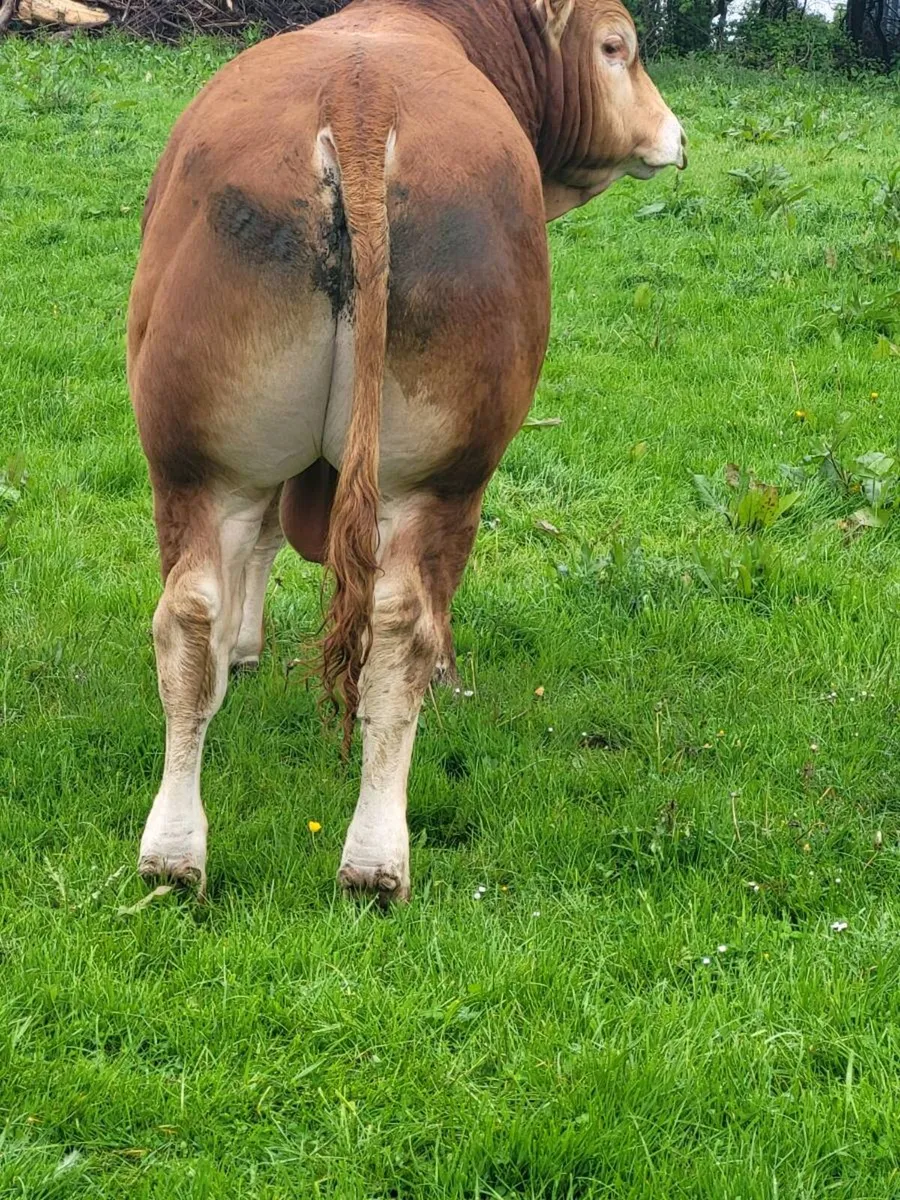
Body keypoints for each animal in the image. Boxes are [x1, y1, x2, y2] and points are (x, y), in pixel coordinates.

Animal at [127, 0, 685, 905]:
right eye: (617, 48)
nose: (675, 134)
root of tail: (359, 101)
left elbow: (259, 546)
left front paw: (243, 649)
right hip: (444, 475)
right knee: (403, 629)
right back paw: (376, 861)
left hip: (195, 454)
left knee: (189, 613)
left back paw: (174, 854)